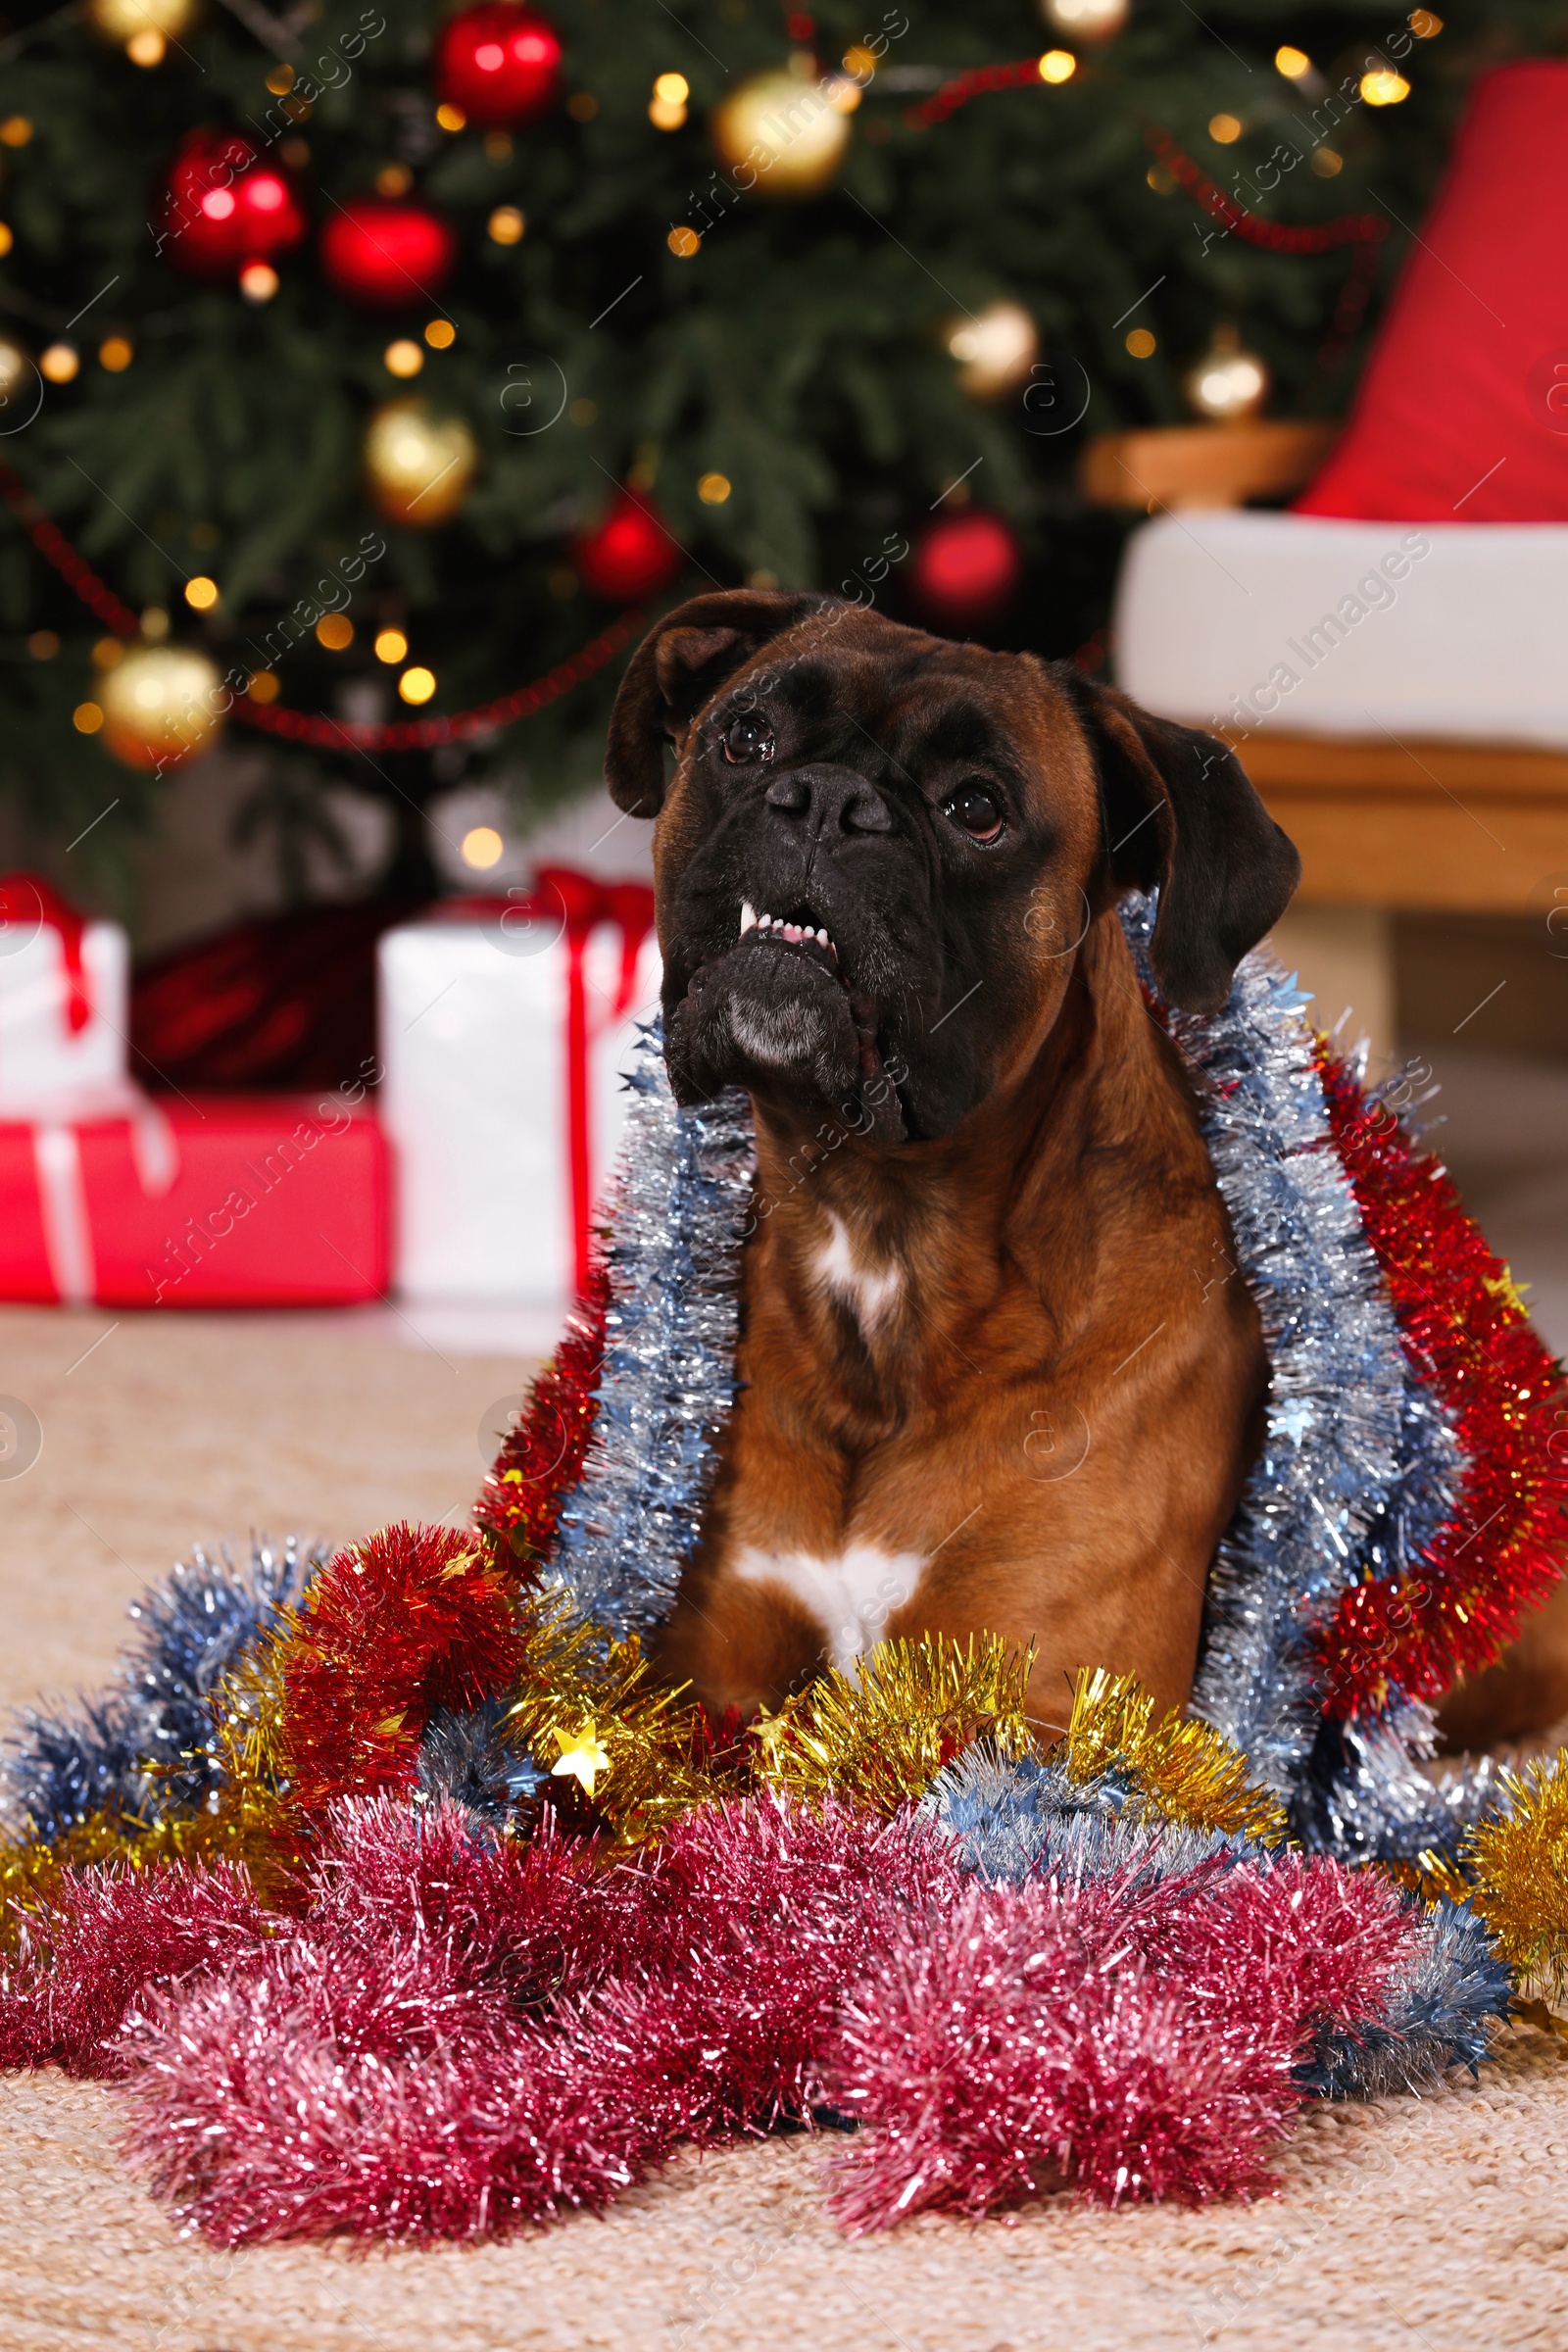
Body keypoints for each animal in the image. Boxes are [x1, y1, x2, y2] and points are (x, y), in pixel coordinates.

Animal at [597, 585, 1298, 1731]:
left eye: (977, 809)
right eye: (747, 738)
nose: (826, 800)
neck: (879, 1223)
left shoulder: (1053, 1708)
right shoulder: (705, 1686)